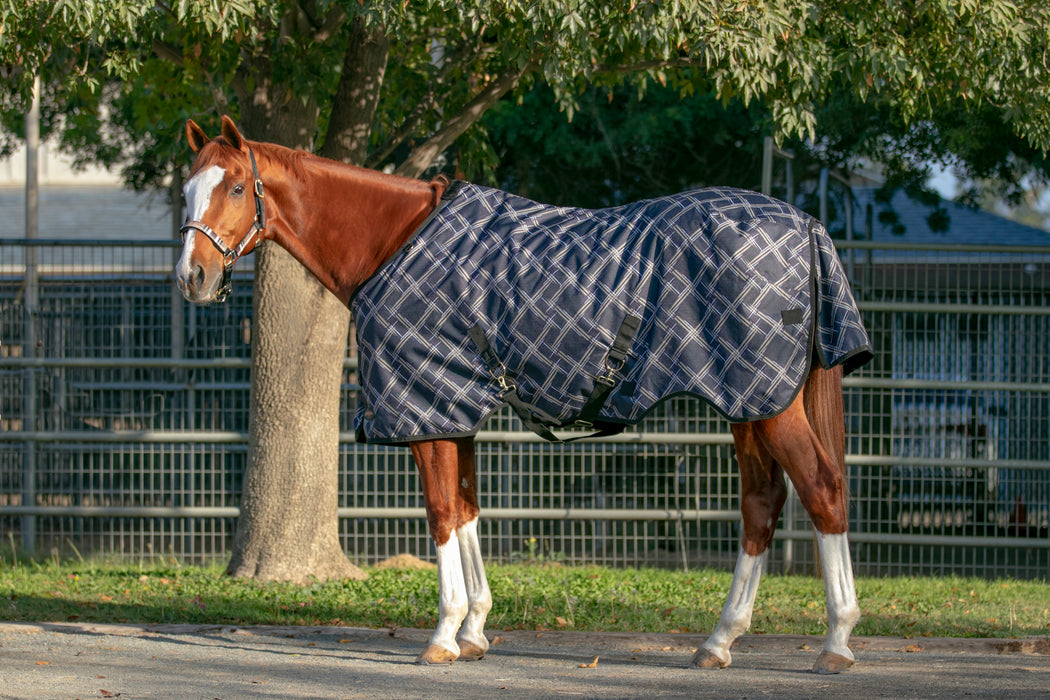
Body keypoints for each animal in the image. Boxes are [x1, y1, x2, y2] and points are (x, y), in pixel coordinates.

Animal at [176, 116, 872, 674]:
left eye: (234, 187)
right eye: (186, 189)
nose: (192, 278)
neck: (392, 239)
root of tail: (806, 225)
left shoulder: (426, 409)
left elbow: (440, 514)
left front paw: (442, 636)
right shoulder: (454, 411)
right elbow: (465, 510)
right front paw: (475, 631)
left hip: (769, 404)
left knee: (822, 490)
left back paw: (836, 644)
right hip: (750, 402)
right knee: (762, 504)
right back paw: (720, 642)